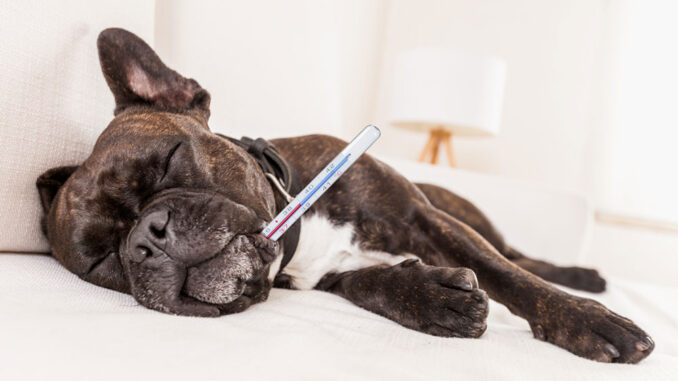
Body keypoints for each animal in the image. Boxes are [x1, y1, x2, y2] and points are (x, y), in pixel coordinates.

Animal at [35, 29, 652, 362]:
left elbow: (511, 278)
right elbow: (372, 285)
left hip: (463, 211)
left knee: (517, 255)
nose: (147, 237)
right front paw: (434, 300)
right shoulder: (329, 277)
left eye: (169, 159)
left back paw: (582, 277)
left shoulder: (425, 220)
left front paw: (590, 323)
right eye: (102, 262)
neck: (300, 229)